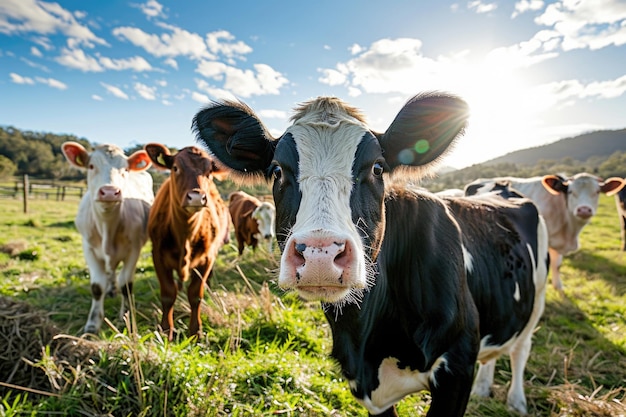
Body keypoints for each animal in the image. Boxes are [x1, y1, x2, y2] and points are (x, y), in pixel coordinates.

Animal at [61, 141, 154, 334]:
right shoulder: (88, 248)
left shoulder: (134, 249)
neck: (107, 228)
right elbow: (97, 286)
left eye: (125, 169)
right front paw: (92, 324)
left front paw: (126, 317)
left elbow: (126, 284)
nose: (110, 192)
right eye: (91, 166)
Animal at [144, 143, 229, 342]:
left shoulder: (207, 259)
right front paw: (166, 331)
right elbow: (168, 294)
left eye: (209, 172)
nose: (197, 197)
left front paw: (195, 332)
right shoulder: (157, 255)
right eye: (175, 168)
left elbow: (195, 295)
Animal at [191, 92, 544, 414]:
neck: (368, 334)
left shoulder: (456, 367)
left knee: (522, 348)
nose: (320, 255)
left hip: (536, 299)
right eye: (277, 171)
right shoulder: (364, 384)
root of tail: (501, 187)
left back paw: (516, 401)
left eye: (377, 168)